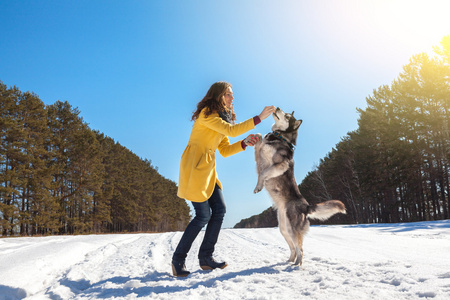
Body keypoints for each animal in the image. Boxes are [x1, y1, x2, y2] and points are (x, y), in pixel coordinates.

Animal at [253, 107, 344, 264]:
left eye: (287, 115)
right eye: (285, 111)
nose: (277, 107)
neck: (280, 137)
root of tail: (306, 206)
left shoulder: (281, 165)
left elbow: (263, 173)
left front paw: (258, 186)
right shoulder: (260, 151)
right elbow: (259, 138)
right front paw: (250, 139)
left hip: (292, 229)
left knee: (300, 249)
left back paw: (296, 265)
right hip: (284, 228)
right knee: (294, 248)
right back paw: (290, 261)